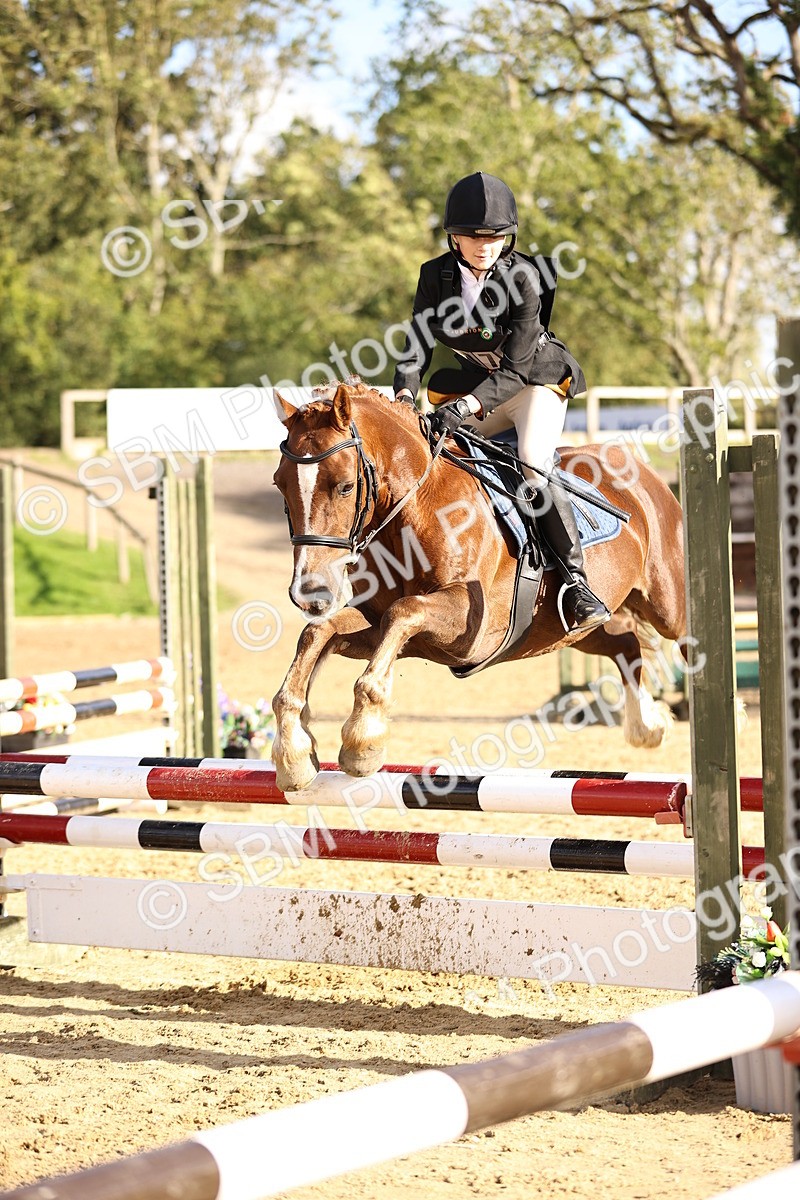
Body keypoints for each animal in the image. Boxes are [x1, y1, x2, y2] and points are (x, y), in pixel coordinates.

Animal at [271, 380, 686, 792]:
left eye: (344, 486)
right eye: (280, 484)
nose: (309, 592)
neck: (415, 509)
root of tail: (642, 472)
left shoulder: (468, 627)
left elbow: (404, 611)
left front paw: (362, 740)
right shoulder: (392, 627)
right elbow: (320, 632)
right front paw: (294, 752)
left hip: (667, 606)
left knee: (682, 636)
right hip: (571, 632)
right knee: (625, 642)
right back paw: (648, 726)